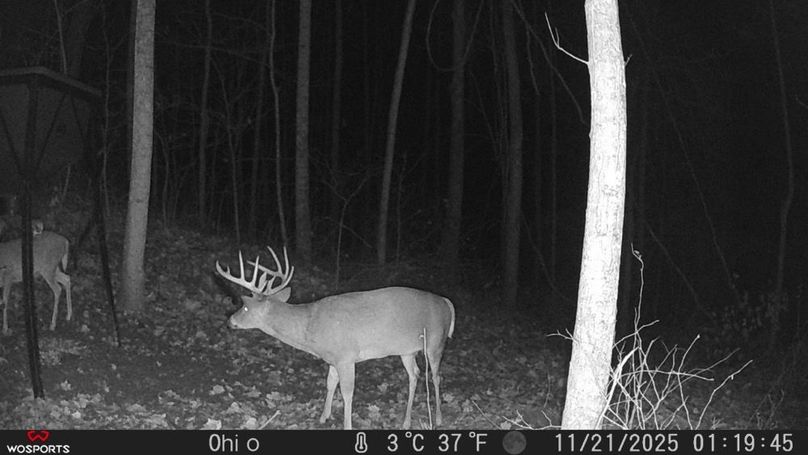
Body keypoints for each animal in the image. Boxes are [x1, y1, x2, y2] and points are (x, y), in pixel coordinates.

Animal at [216, 246, 455, 430]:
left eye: (245, 306)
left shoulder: (346, 356)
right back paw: (406, 422)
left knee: (436, 376)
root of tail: (447, 302)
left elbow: (347, 392)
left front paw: (346, 425)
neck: (311, 327)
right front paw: (324, 416)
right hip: (406, 350)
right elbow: (330, 383)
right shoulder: (332, 358)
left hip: (436, 341)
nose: (229, 321)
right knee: (414, 375)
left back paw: (439, 419)